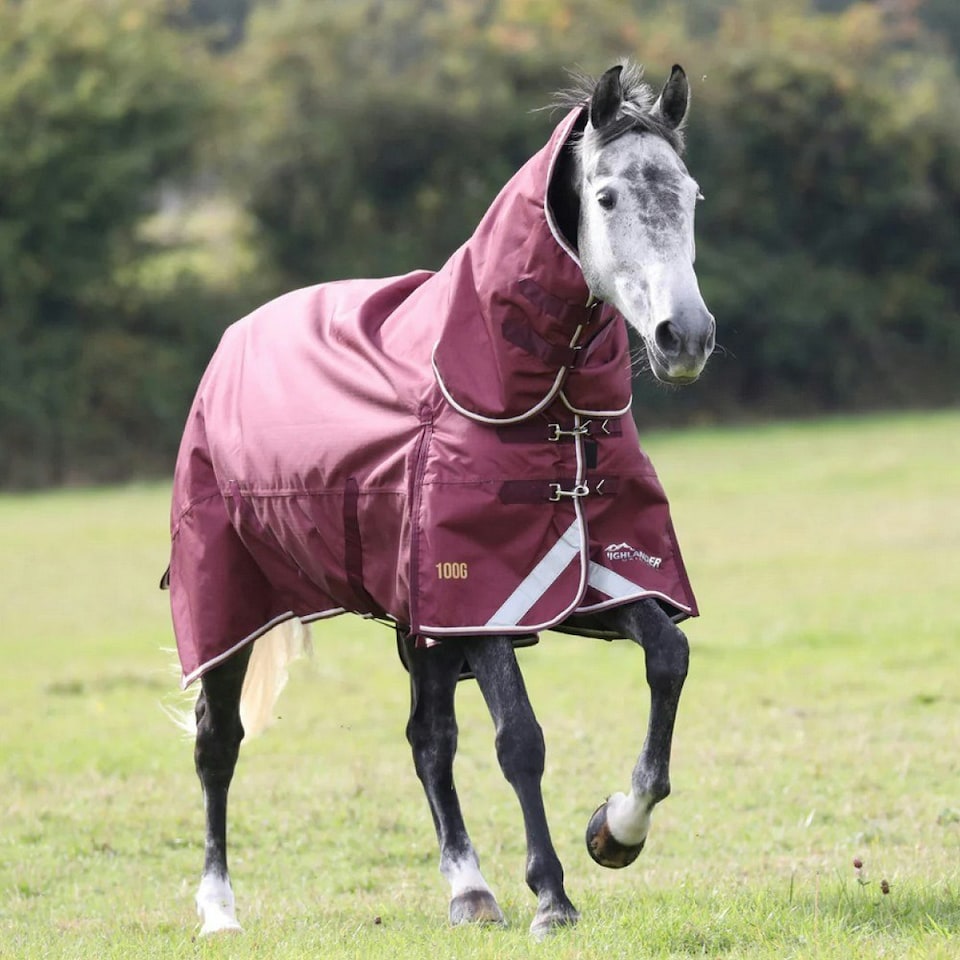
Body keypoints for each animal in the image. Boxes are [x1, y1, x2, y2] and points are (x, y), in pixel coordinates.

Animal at [163, 61, 715, 939]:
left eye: (691, 195)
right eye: (605, 198)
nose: (684, 338)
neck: (538, 409)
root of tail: (230, 346)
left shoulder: (591, 578)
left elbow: (667, 658)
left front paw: (616, 829)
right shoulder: (482, 596)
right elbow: (520, 739)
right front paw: (553, 896)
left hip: (418, 625)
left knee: (429, 738)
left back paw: (470, 888)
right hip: (229, 603)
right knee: (218, 744)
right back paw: (218, 910)